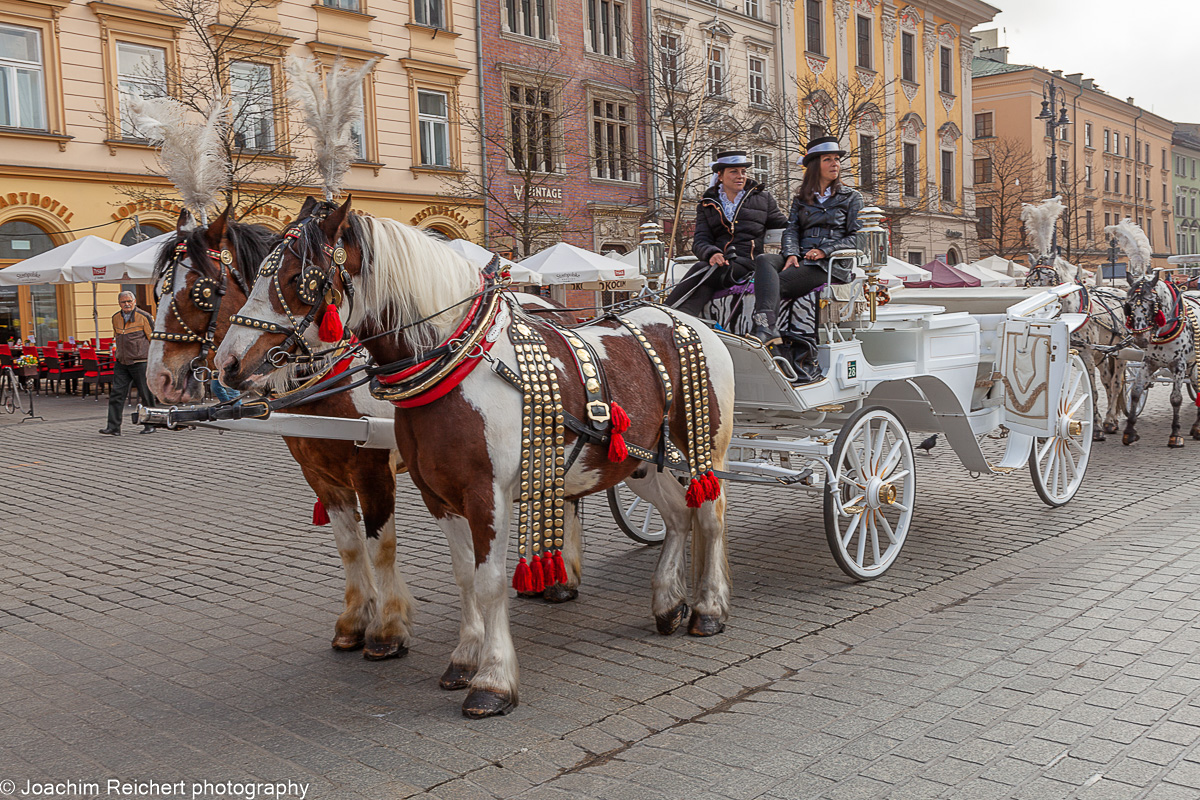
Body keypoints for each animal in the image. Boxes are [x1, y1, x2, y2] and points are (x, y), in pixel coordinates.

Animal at [217, 200, 739, 719]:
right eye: (255, 275)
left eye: (295, 279)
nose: (227, 364)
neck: (456, 366)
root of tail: (683, 316)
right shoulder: (435, 494)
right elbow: (463, 575)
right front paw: (465, 658)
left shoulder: (481, 494)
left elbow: (487, 581)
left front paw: (493, 680)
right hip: (640, 461)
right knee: (677, 518)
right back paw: (668, 602)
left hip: (703, 448)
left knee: (709, 516)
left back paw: (709, 609)